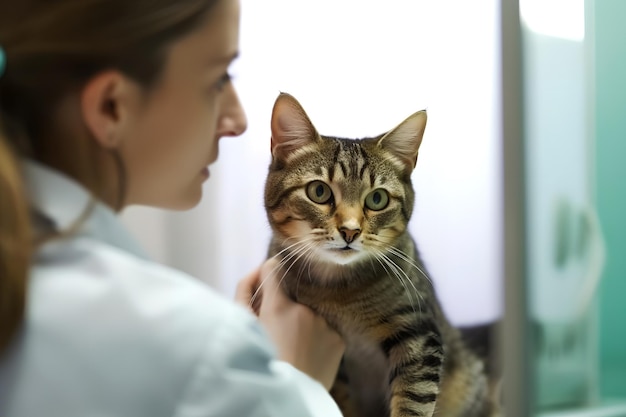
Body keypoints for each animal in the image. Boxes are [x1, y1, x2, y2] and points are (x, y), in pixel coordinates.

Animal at [260, 93, 500, 416]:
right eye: (319, 192)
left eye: (377, 198)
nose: (350, 231)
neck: (339, 293)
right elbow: (340, 401)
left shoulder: (418, 333)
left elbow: (413, 400)